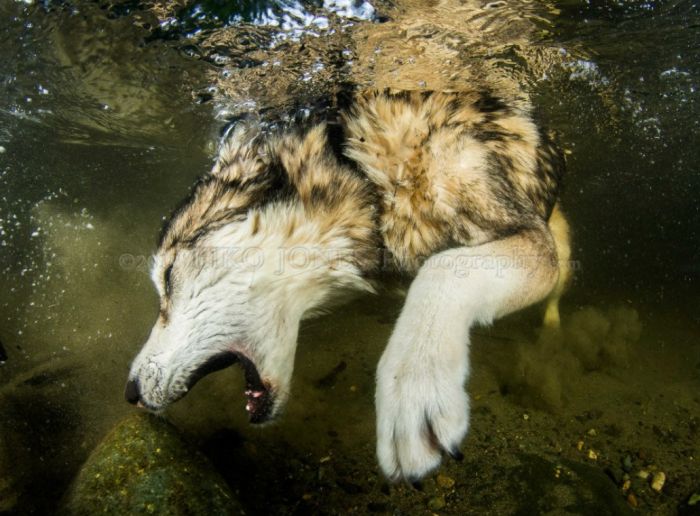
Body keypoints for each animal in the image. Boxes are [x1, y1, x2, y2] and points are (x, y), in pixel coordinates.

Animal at [126, 90, 572, 482]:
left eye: (168, 277)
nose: (130, 392)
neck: (369, 184)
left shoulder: (527, 237)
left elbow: (441, 269)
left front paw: (413, 382)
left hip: (560, 250)